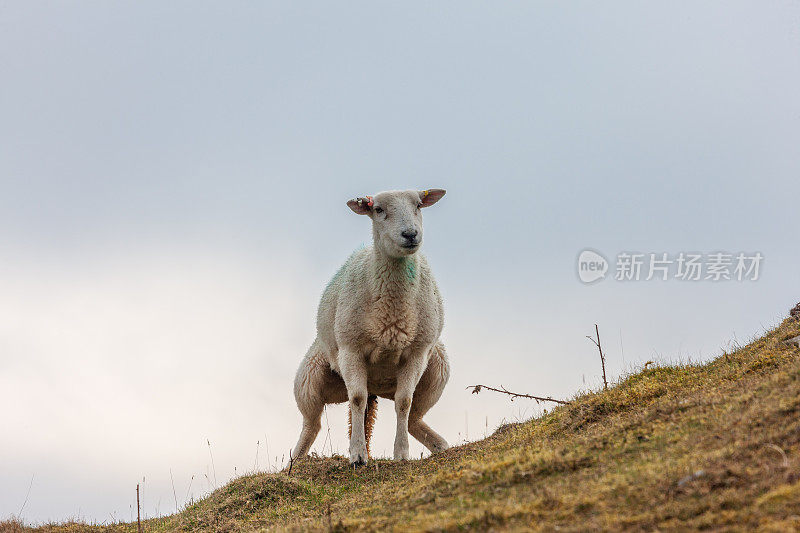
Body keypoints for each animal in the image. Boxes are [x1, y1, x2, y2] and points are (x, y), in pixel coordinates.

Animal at [292, 189, 450, 464]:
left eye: (419, 205)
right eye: (378, 209)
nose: (410, 234)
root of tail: (377, 387)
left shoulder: (417, 352)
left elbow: (404, 402)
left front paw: (401, 454)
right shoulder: (351, 350)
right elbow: (357, 399)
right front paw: (357, 455)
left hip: (437, 370)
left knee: (414, 418)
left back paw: (441, 446)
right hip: (309, 380)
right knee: (312, 424)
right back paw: (295, 461)